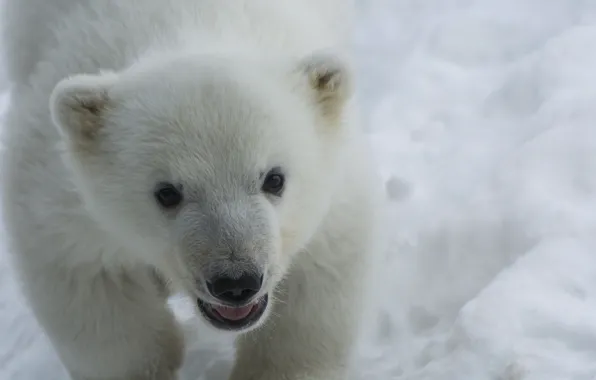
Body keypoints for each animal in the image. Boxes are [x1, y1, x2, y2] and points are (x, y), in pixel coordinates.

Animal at [0, 0, 384, 380]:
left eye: (274, 179)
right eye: (167, 192)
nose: (236, 282)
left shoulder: (334, 188)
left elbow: (317, 276)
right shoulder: (62, 196)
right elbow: (93, 283)